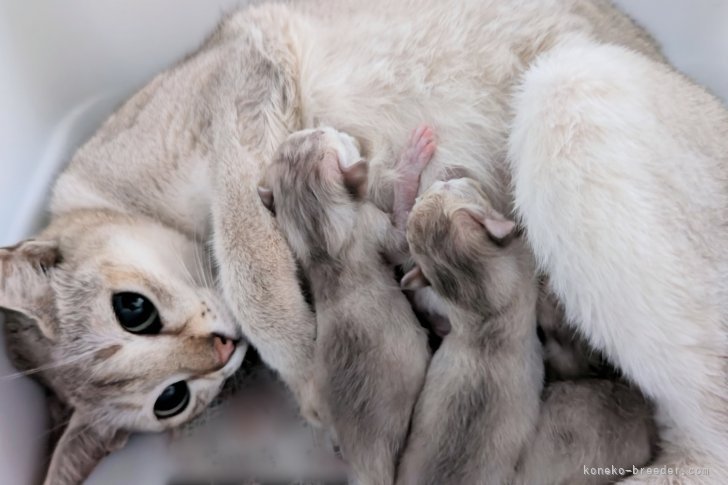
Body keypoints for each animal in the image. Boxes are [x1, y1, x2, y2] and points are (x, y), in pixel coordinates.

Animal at [258, 125, 432, 484]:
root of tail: (366, 460)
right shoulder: (369, 222)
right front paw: (409, 164)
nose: (329, 125)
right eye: (325, 133)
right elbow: (400, 240)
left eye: (308, 133)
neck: (319, 242)